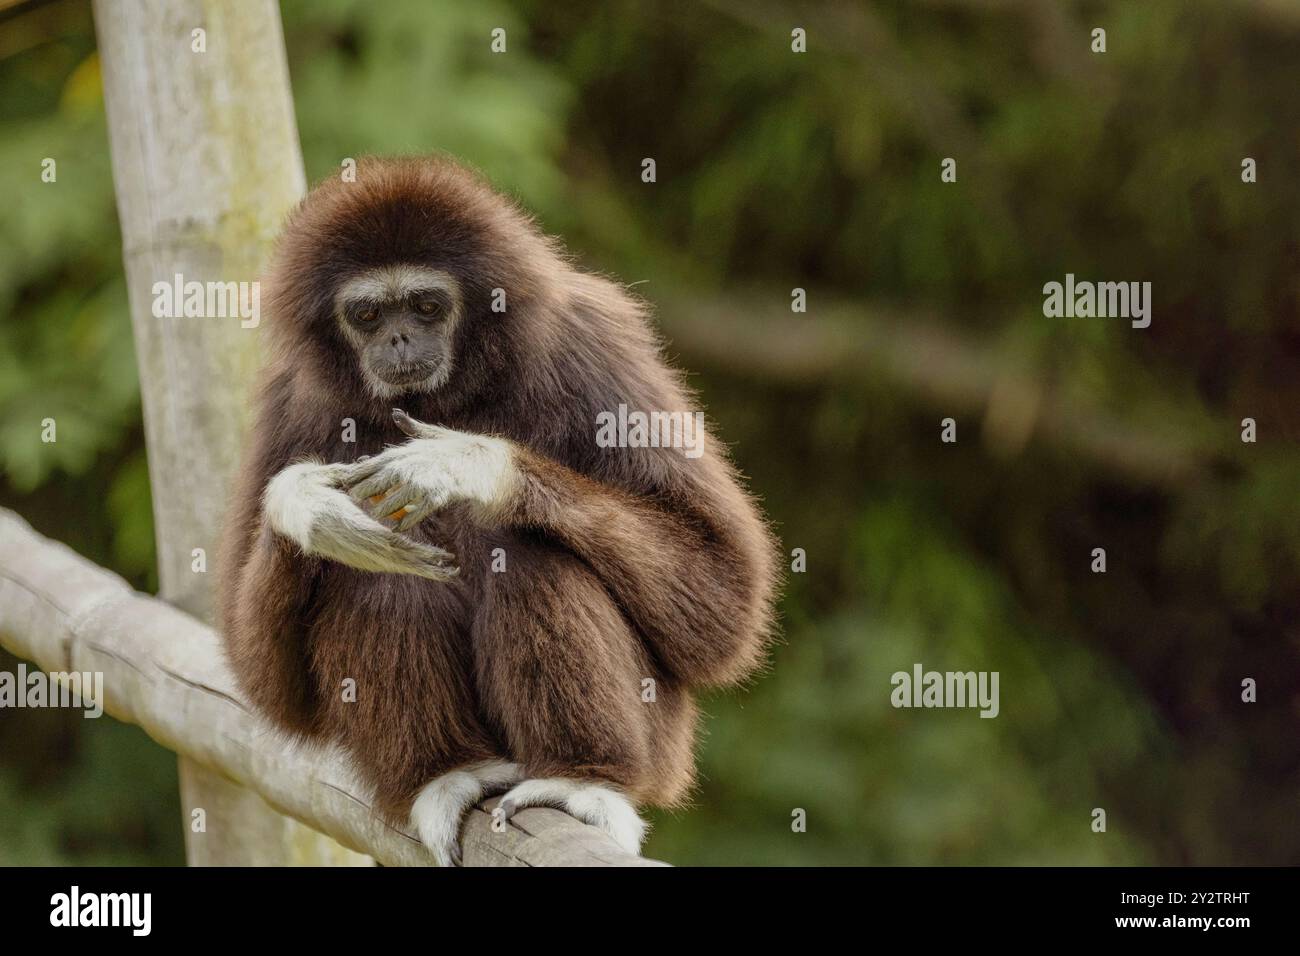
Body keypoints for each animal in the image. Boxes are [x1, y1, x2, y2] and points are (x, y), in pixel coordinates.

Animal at [218, 155, 779, 865]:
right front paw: (308, 506)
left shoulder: (591, 345)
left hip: (664, 743)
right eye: (367, 313)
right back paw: (448, 773)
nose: (398, 337)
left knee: (530, 551)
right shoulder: (290, 398)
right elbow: (268, 682)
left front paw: (470, 465)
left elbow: (723, 599)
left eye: (427, 305)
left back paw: (581, 781)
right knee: (377, 577)